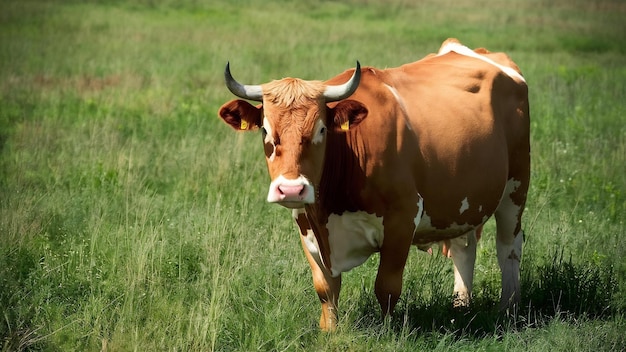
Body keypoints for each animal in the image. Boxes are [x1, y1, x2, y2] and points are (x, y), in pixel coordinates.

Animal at [217, 38, 528, 330]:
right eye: (265, 130)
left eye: (321, 129)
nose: (291, 189)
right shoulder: (306, 224)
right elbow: (326, 288)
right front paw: (329, 330)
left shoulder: (403, 218)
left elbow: (387, 287)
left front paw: (388, 330)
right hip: (463, 201)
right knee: (464, 247)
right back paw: (461, 306)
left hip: (515, 188)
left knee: (508, 247)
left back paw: (508, 309)